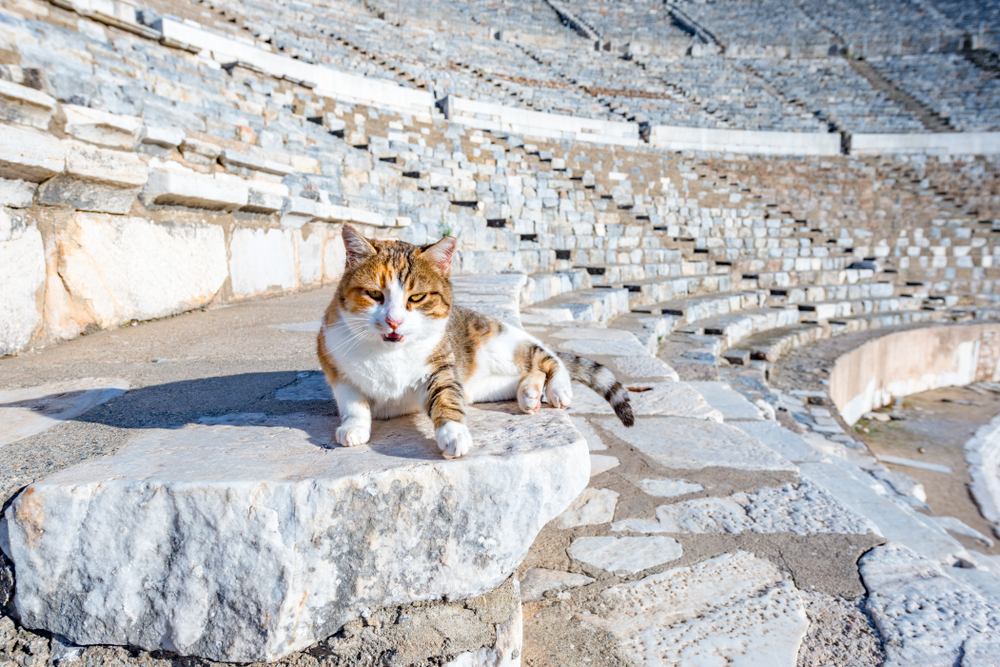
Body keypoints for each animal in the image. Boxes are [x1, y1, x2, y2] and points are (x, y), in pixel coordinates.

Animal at [316, 224, 636, 460]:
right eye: (374, 295)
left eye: (416, 297)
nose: (394, 320)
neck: (389, 353)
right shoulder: (334, 362)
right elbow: (353, 401)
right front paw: (353, 427)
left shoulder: (440, 367)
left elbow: (446, 395)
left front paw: (453, 433)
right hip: (484, 386)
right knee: (527, 373)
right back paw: (529, 394)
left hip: (503, 344)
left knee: (547, 357)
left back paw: (557, 388)